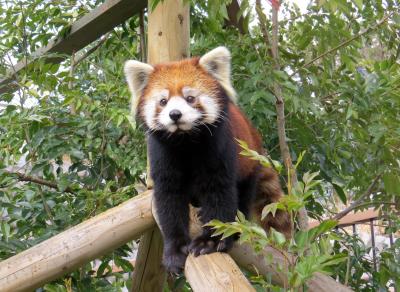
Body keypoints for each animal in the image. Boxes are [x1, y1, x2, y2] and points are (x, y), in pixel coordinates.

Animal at [124, 46, 290, 274]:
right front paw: (175, 249)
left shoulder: (218, 150)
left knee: (244, 195)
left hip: (250, 161)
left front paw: (210, 241)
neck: (185, 140)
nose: (175, 114)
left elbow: (219, 194)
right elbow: (169, 200)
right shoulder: (162, 156)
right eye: (163, 101)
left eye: (190, 98)